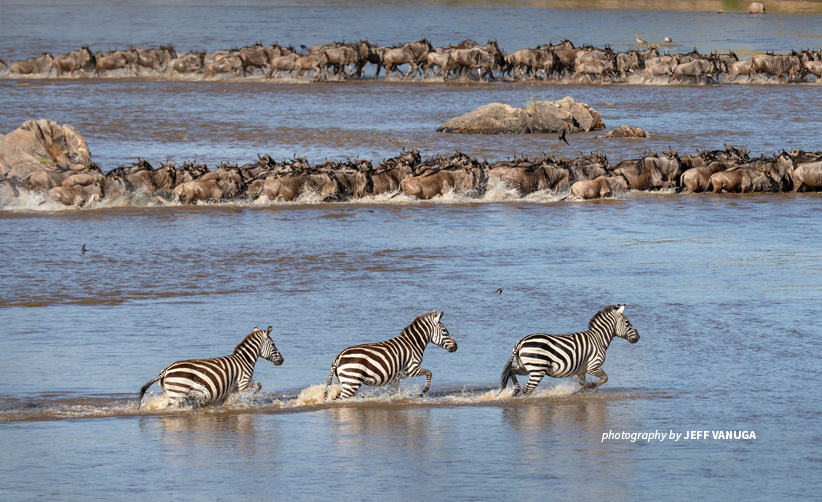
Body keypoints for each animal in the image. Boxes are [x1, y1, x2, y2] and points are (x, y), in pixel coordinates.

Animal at [137, 324, 284, 410]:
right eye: (273, 344)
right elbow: (259, 385)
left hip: (172, 393)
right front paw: (252, 396)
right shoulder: (243, 383)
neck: (244, 360)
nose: (282, 360)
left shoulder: (230, 389)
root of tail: (166, 371)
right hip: (178, 395)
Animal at [326, 310, 460, 400]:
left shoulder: (396, 377)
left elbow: (394, 393)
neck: (413, 343)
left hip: (345, 382)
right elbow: (429, 372)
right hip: (351, 382)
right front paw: (423, 390)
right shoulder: (411, 369)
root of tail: (339, 357)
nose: (456, 347)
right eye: (445, 331)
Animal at [498, 306, 640, 396]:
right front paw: (590, 386)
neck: (599, 339)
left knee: (512, 371)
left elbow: (582, 383)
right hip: (537, 369)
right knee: (527, 389)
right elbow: (605, 378)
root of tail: (521, 342)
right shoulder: (593, 366)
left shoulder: (582, 369)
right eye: (627, 322)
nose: (638, 337)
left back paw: (515, 390)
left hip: (525, 367)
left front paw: (582, 390)